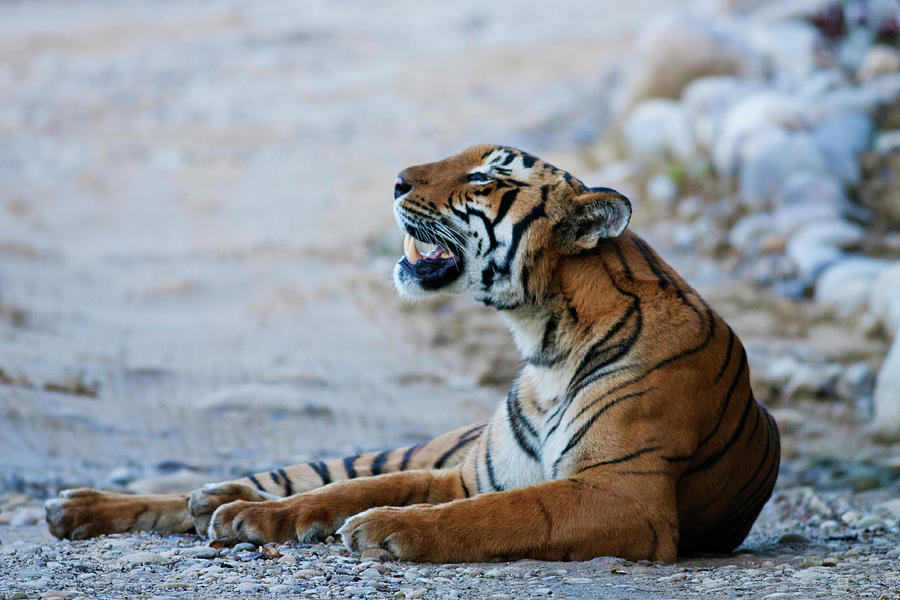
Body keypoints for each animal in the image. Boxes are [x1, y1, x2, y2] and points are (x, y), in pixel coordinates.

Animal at [45, 144, 780, 564]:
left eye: (483, 177)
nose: (395, 180)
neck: (543, 340)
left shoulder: (625, 495)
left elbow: (499, 515)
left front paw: (383, 530)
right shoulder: (469, 474)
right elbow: (351, 490)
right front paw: (259, 519)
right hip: (402, 448)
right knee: (301, 474)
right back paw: (100, 506)